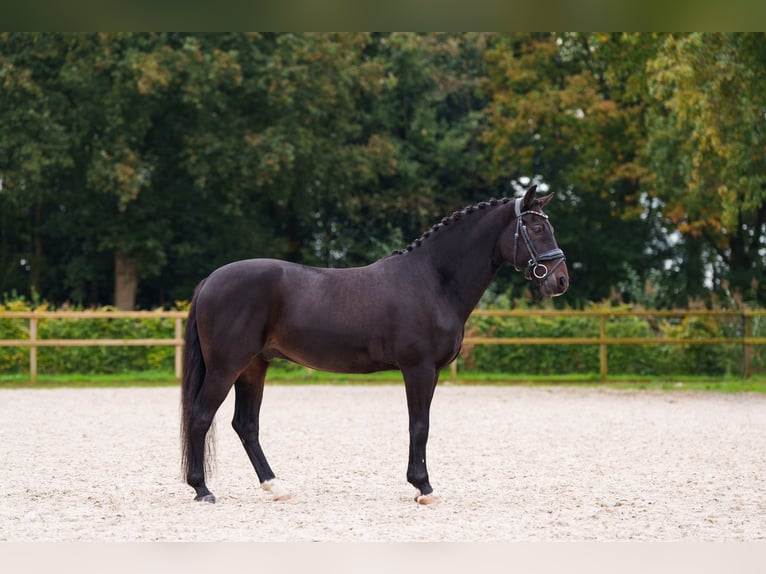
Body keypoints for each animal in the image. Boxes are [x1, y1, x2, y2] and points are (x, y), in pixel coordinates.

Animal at [178, 187, 564, 506]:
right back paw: (202, 489)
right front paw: (423, 487)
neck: (432, 280)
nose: (560, 280)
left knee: (246, 425)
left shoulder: (431, 371)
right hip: (226, 367)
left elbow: (421, 425)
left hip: (253, 367)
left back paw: (276, 487)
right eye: (536, 229)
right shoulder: (418, 369)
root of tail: (211, 279)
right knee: (201, 416)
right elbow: (419, 425)